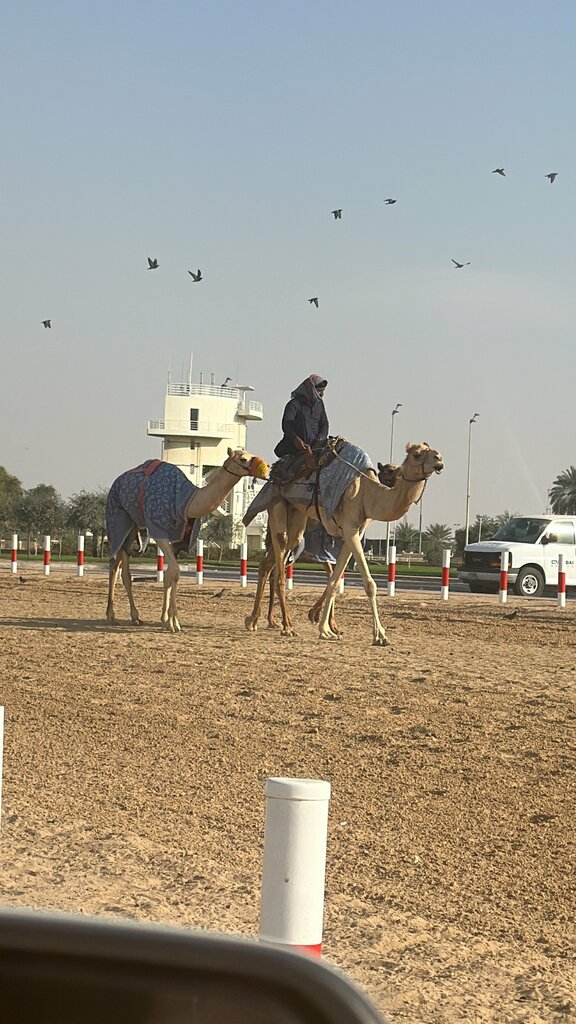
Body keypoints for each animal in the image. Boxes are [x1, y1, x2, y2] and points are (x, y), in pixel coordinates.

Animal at [106, 448, 268, 632]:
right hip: (118, 518)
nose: (265, 468)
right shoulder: (158, 530)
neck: (187, 502)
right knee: (114, 564)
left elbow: (169, 574)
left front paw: (165, 619)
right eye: (242, 458)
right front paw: (174, 623)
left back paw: (135, 617)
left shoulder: (176, 538)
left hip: (132, 527)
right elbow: (175, 571)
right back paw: (112, 615)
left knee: (123, 567)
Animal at [245, 442, 443, 646]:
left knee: (270, 563)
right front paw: (380, 635)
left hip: (297, 518)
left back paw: (255, 621)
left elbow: (334, 580)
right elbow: (368, 583)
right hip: (276, 506)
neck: (366, 494)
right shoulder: (349, 530)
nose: (439, 460)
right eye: (417, 454)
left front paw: (325, 629)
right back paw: (286, 627)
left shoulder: (352, 534)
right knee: (278, 569)